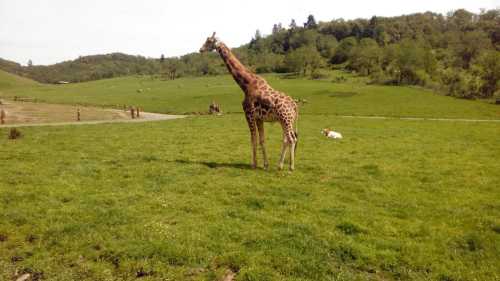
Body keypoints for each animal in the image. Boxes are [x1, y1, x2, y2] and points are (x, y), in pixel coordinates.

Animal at [200, 31, 300, 170]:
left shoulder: (249, 114)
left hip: (286, 119)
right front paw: (265, 164)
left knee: (292, 139)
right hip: (284, 121)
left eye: (209, 41)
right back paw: (280, 165)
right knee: (287, 139)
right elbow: (262, 140)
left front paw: (254, 164)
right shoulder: (259, 118)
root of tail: (295, 105)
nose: (200, 49)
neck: (246, 84)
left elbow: (253, 139)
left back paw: (291, 167)